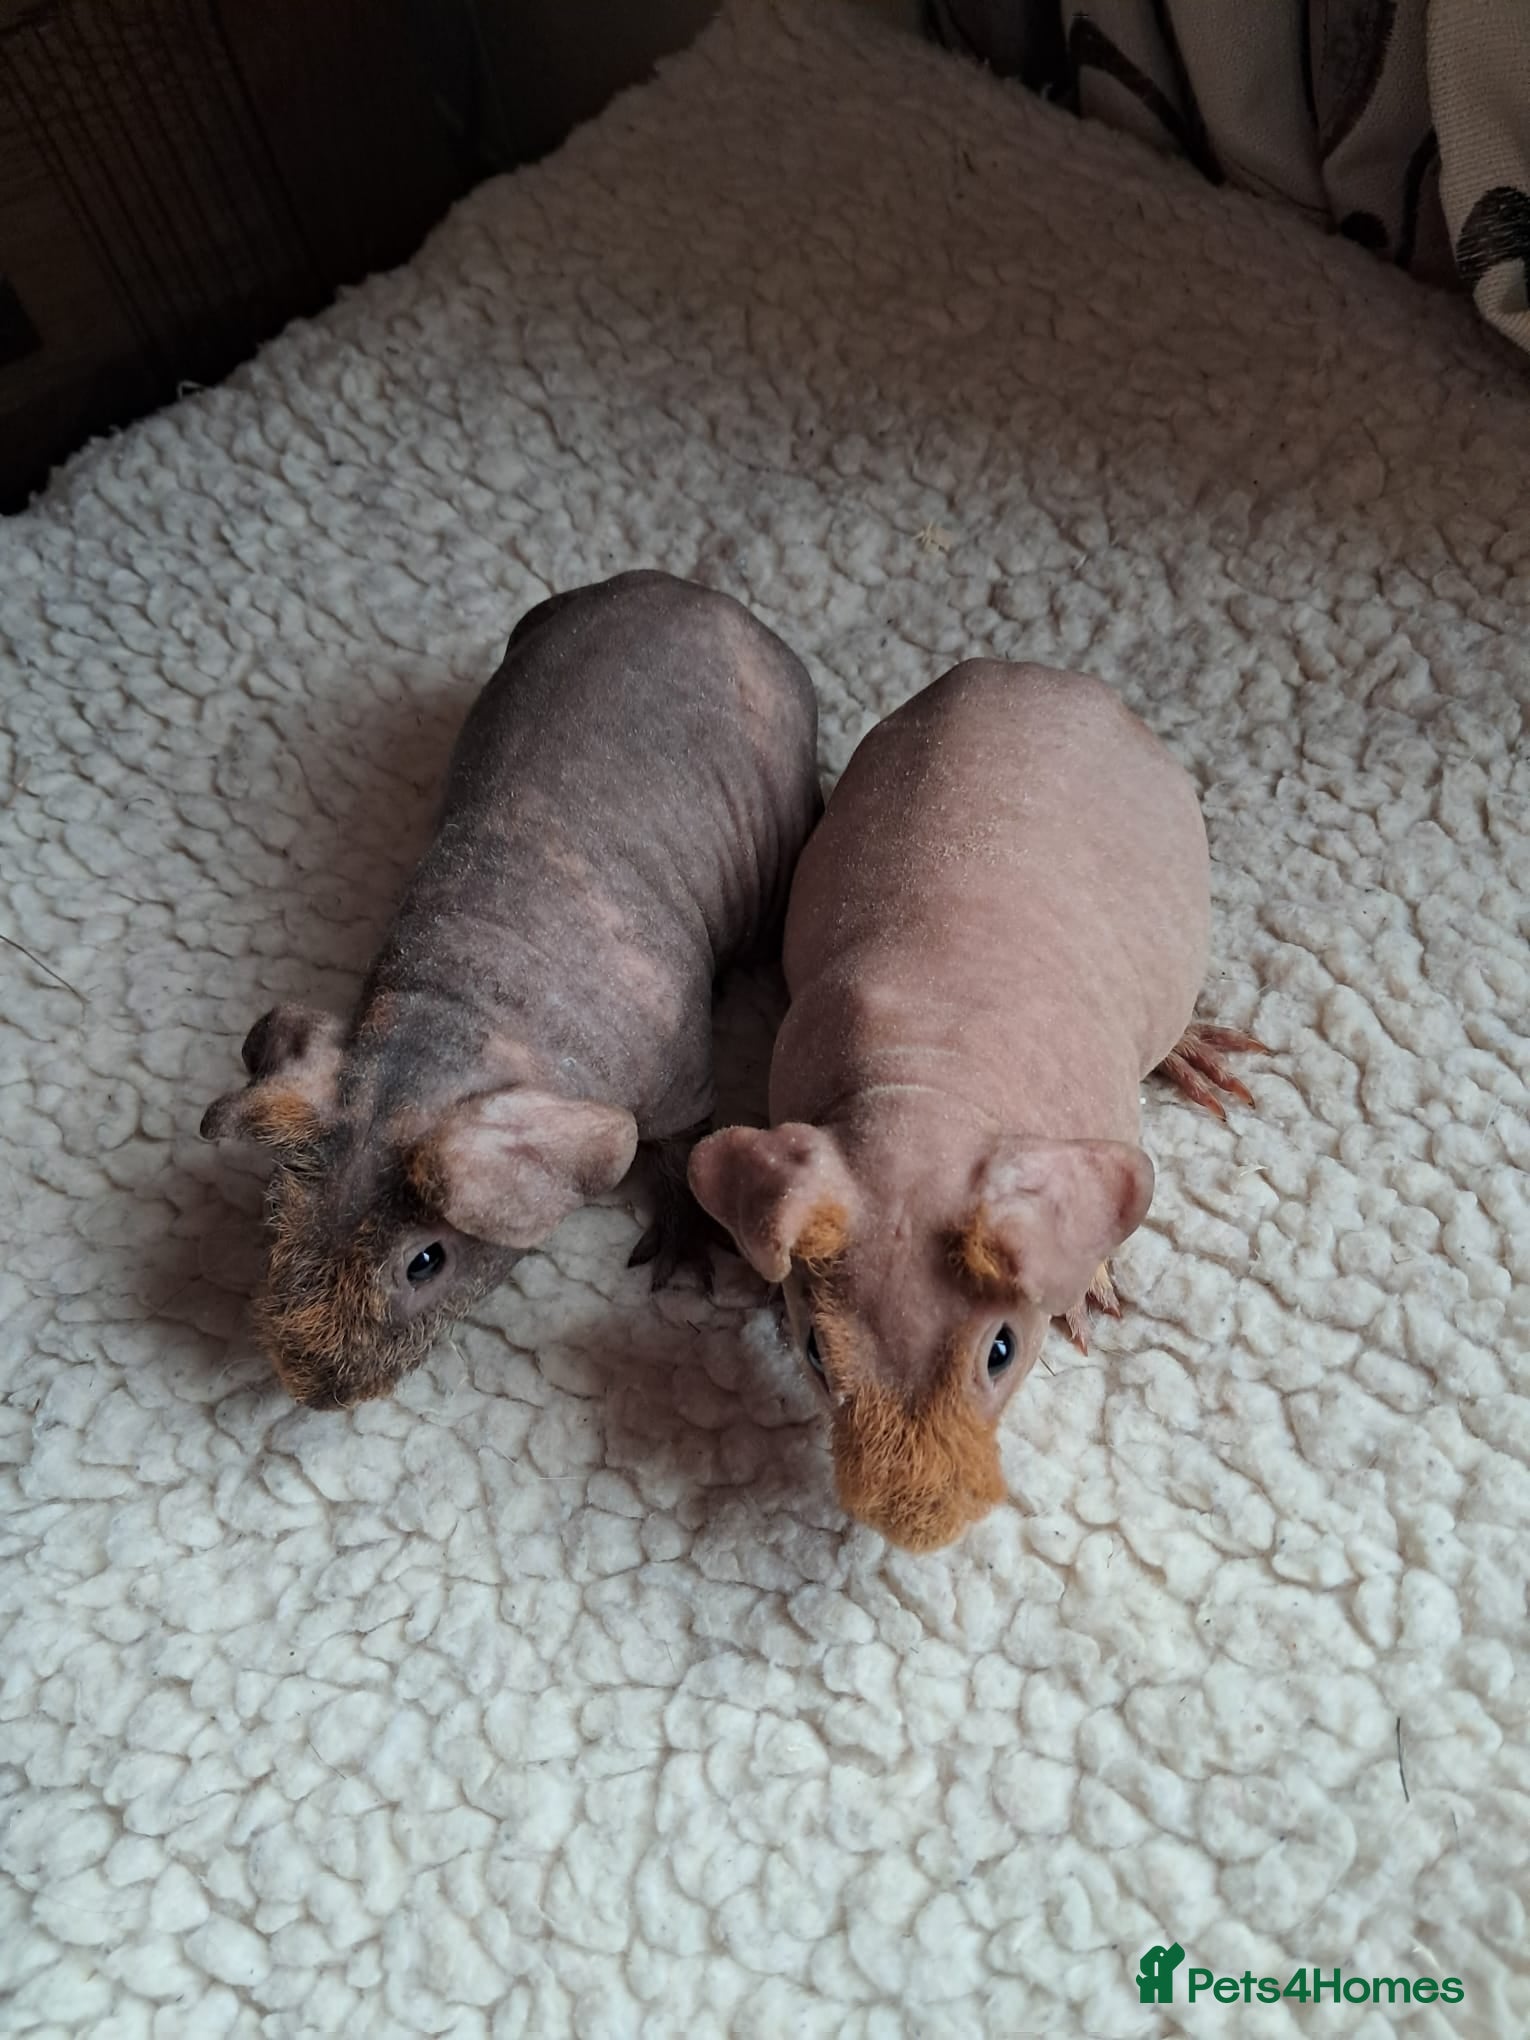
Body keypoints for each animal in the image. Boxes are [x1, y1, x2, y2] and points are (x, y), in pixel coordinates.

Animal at [201, 570, 820, 1409]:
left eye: (426, 1261)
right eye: (275, 1216)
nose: (314, 1391)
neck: (460, 1009)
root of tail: (700, 592)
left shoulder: (682, 1081)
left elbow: (682, 1156)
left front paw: (683, 1260)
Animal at [688, 660, 1266, 1553]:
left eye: (1001, 1352)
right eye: (815, 1352)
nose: (916, 1528)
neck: (928, 1090)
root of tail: (1042, 673)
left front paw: (1088, 1278)